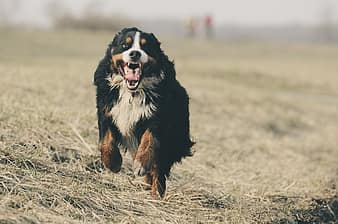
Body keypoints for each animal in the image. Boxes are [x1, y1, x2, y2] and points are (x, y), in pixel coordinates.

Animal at [93, 27, 194, 197]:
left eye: (146, 47)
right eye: (124, 45)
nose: (135, 53)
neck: (132, 93)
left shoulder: (157, 117)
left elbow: (149, 141)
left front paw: (140, 164)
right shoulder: (106, 110)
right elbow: (105, 141)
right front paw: (112, 163)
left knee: (158, 168)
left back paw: (156, 193)